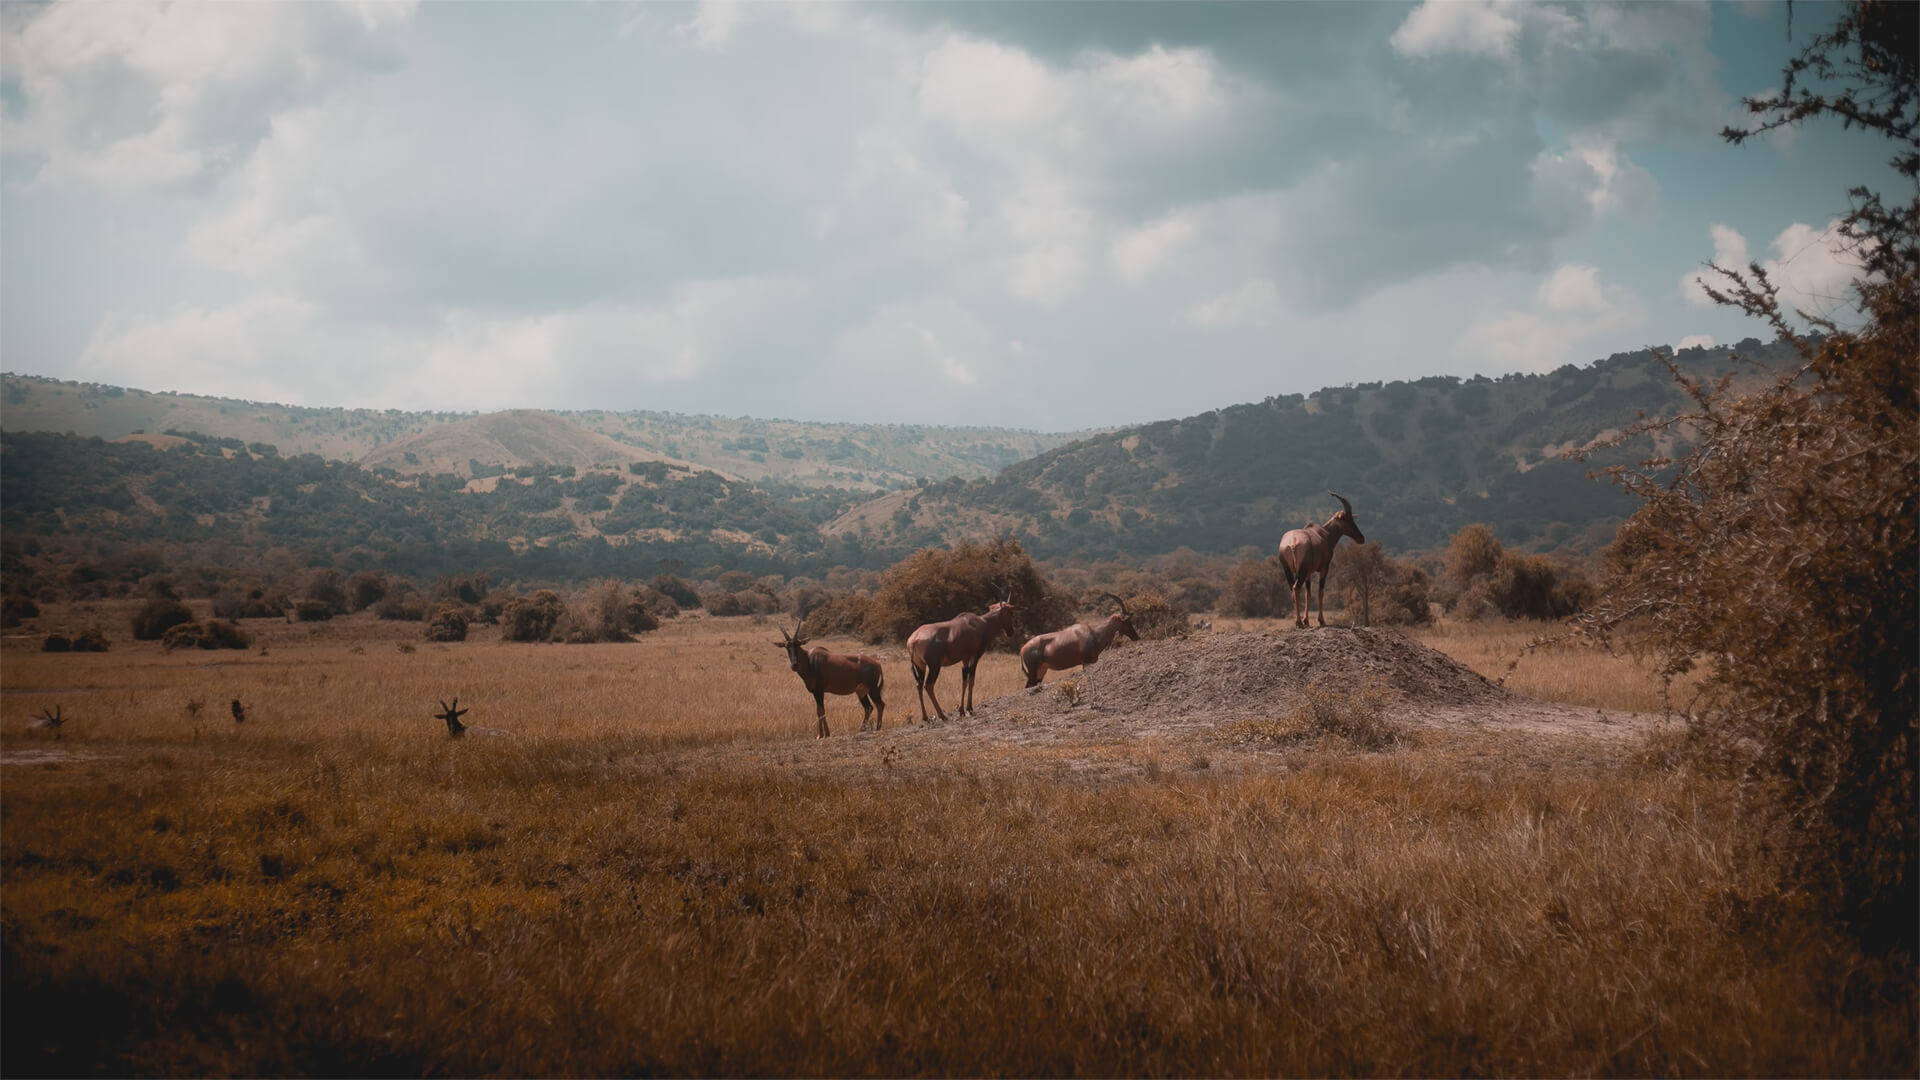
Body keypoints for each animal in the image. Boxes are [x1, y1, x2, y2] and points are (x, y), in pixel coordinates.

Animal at [910, 588, 1029, 722]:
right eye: (1010, 612)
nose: (1010, 632)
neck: (981, 623)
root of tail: (914, 639)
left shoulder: (965, 659)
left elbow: (964, 681)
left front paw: (962, 710)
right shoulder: (975, 656)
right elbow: (971, 679)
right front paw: (969, 709)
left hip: (920, 666)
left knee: (919, 685)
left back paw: (925, 717)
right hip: (934, 666)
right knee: (929, 685)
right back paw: (942, 716)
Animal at [1274, 486, 1367, 622]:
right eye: (1347, 519)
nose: (1361, 538)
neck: (1323, 534)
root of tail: (1291, 543)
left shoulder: (1308, 573)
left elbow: (1308, 593)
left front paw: (1306, 620)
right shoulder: (1324, 568)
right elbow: (1320, 592)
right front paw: (1321, 620)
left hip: (1288, 570)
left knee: (1292, 589)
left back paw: (1298, 621)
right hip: (1301, 571)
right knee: (1296, 588)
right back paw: (1298, 622)